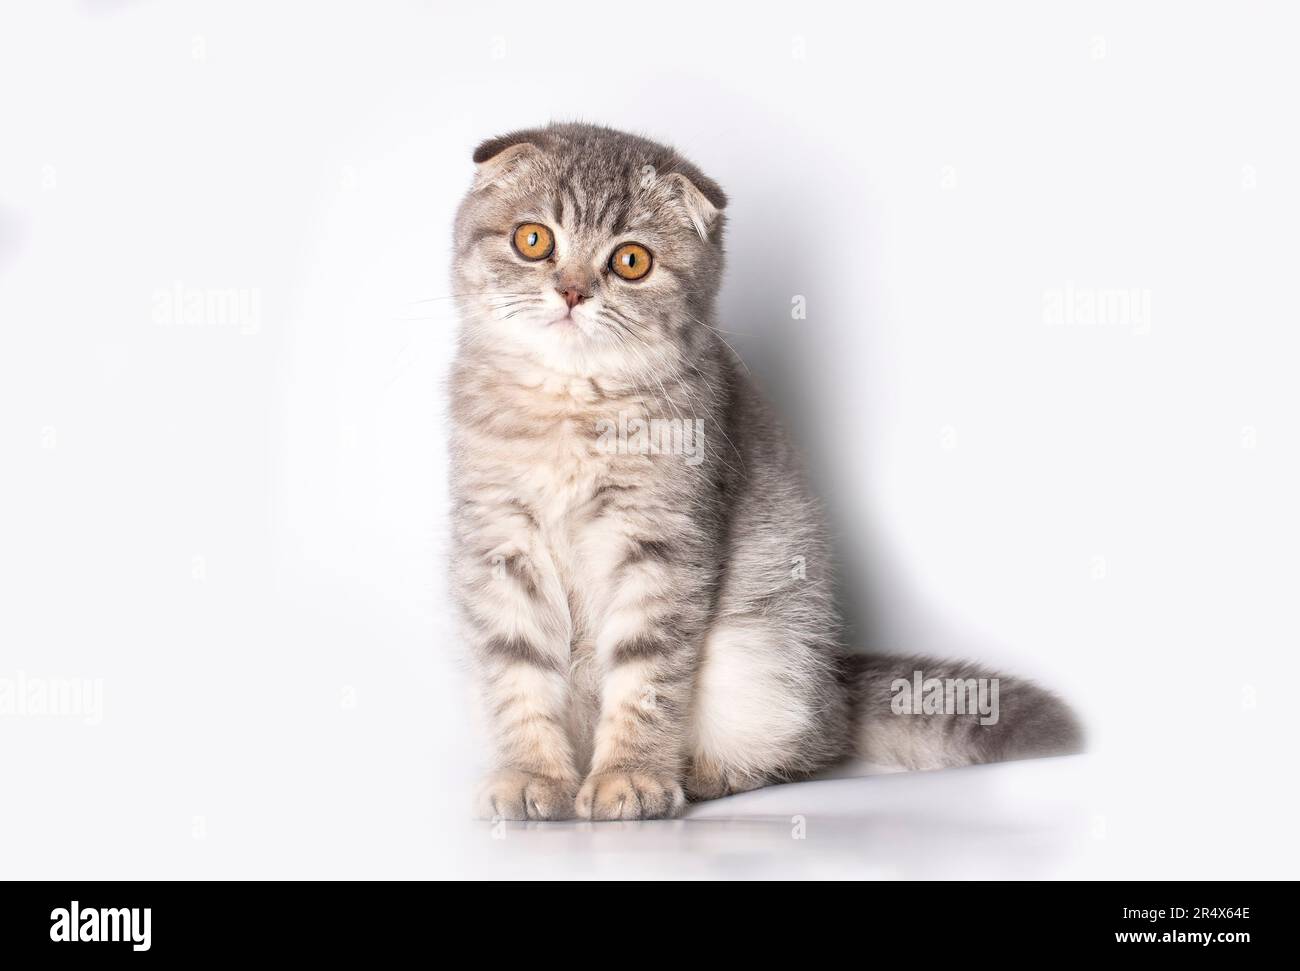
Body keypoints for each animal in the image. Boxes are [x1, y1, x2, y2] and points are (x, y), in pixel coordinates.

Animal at [452, 121, 1081, 821]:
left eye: (631, 260)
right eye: (533, 240)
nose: (571, 291)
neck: (571, 408)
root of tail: (835, 677)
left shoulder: (663, 547)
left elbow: (646, 680)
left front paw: (629, 778)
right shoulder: (500, 545)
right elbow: (518, 676)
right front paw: (530, 777)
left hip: (764, 659)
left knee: (812, 744)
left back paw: (706, 773)